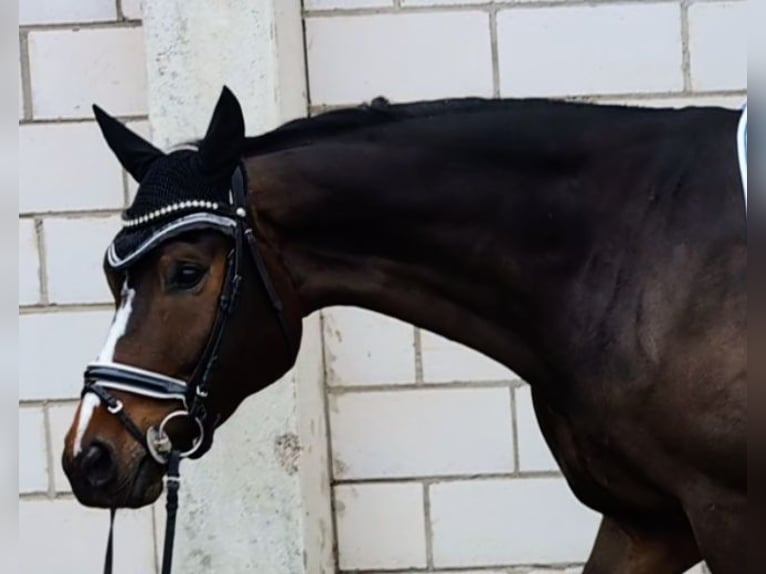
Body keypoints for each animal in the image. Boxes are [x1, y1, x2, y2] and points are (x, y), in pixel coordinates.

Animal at [61, 86, 752, 574]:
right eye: (111, 274)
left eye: (186, 272)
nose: (89, 457)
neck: (638, 241)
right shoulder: (649, 523)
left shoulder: (728, 513)